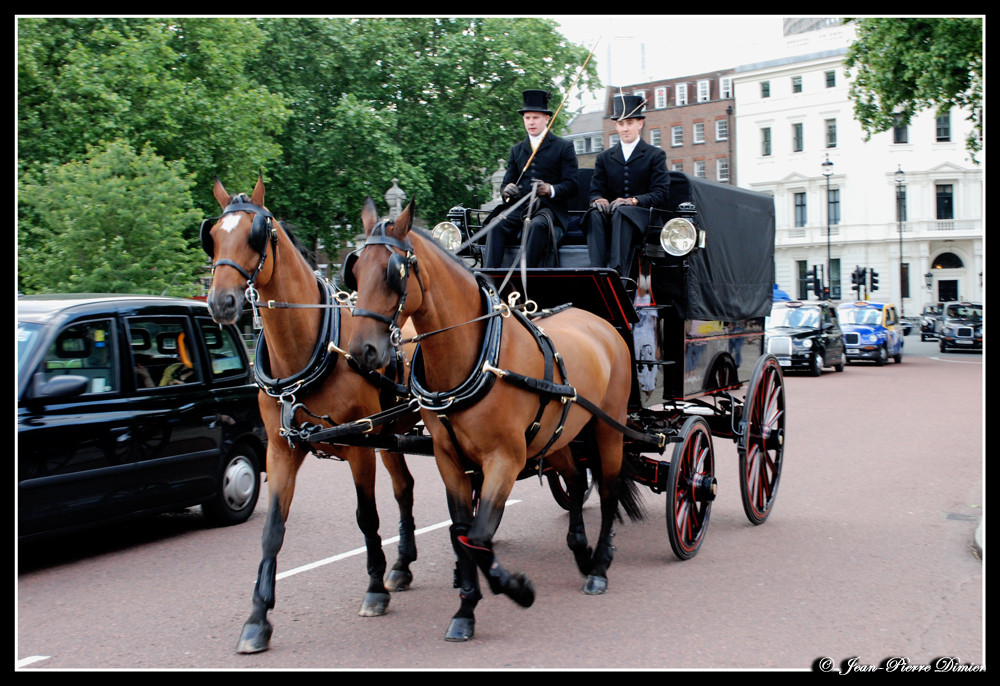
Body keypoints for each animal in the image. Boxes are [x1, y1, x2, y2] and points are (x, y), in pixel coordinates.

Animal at [203, 177, 422, 656]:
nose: (222, 303)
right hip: (392, 435)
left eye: (256, 234)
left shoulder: (359, 447)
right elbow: (272, 530)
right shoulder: (281, 450)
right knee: (405, 488)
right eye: (213, 236)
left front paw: (374, 589)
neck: (310, 351)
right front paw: (257, 619)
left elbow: (366, 517)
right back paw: (402, 565)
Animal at [348, 196, 644, 644]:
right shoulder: (450, 459)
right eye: (356, 269)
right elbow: (461, 532)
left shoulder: (504, 459)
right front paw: (466, 608)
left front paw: (516, 589)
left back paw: (598, 567)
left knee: (608, 491)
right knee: (577, 481)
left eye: (393, 273)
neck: (477, 358)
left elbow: (479, 535)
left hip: (609, 428)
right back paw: (580, 550)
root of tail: (601, 323)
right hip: (556, 436)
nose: (361, 352)